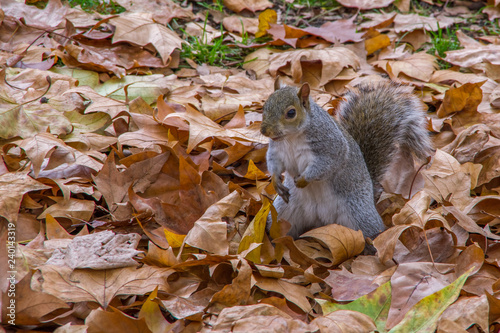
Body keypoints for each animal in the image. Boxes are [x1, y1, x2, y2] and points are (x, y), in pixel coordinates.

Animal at [260, 78, 432, 244]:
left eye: (291, 113)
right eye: (264, 107)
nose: (264, 130)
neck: (291, 138)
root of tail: (321, 220)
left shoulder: (330, 147)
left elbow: (325, 165)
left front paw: (303, 180)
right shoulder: (277, 151)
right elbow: (274, 164)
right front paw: (276, 181)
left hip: (358, 214)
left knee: (371, 231)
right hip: (283, 212)